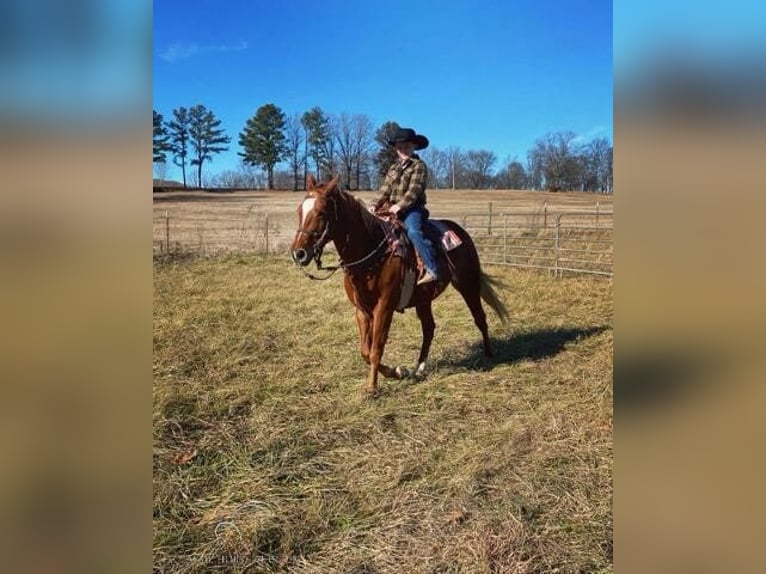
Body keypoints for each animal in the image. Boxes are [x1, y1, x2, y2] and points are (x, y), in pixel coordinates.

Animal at [292, 176, 508, 398]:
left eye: (322, 212)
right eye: (300, 211)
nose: (298, 253)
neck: (372, 252)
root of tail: (460, 231)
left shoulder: (384, 308)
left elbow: (376, 349)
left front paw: (373, 387)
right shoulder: (362, 311)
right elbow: (365, 351)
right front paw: (397, 372)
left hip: (467, 284)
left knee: (480, 317)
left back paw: (489, 354)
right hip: (424, 299)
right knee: (429, 328)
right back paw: (419, 368)